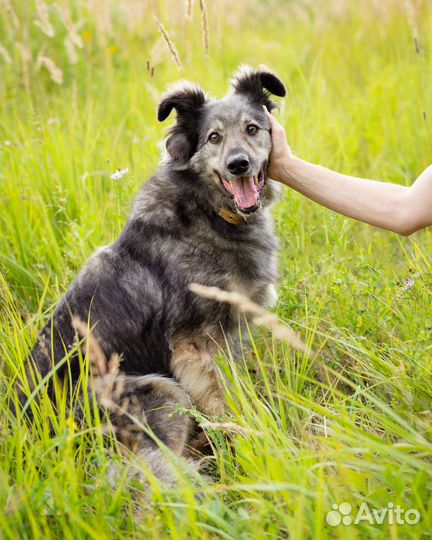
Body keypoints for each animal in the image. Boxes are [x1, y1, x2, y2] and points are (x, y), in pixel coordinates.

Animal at [25, 66, 286, 476]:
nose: (238, 164)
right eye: (214, 137)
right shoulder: (195, 347)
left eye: (252, 128)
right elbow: (225, 401)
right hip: (161, 391)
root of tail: (41, 433)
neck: (208, 210)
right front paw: (251, 438)